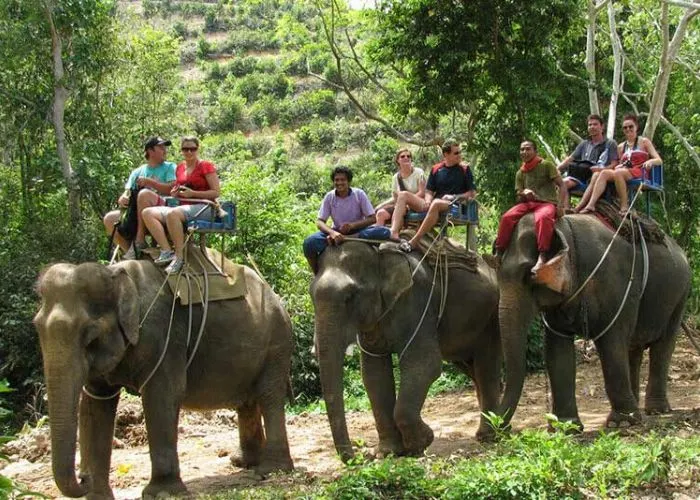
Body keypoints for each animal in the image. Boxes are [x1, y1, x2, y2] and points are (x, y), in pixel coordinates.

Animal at [33, 258, 294, 499]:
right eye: (36, 328)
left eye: (90, 337)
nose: (83, 476)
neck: (117, 276)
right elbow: (94, 406)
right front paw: (98, 496)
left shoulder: (164, 337)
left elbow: (163, 395)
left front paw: (162, 492)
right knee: (247, 402)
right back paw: (244, 462)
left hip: (276, 342)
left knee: (269, 396)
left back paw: (271, 470)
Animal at [310, 240, 501, 462]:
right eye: (311, 295)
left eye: (350, 297)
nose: (358, 457)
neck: (379, 256)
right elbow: (374, 375)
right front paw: (386, 452)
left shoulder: (418, 300)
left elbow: (424, 363)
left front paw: (421, 443)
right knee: (471, 368)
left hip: (489, 319)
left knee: (486, 367)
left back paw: (489, 436)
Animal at [497, 213, 690, 430]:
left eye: (528, 275)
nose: (501, 429)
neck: (566, 230)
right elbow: (557, 352)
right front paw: (566, 427)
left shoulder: (614, 285)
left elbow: (611, 345)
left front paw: (620, 424)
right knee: (633, 348)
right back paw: (637, 409)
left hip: (680, 295)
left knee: (662, 347)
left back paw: (655, 411)